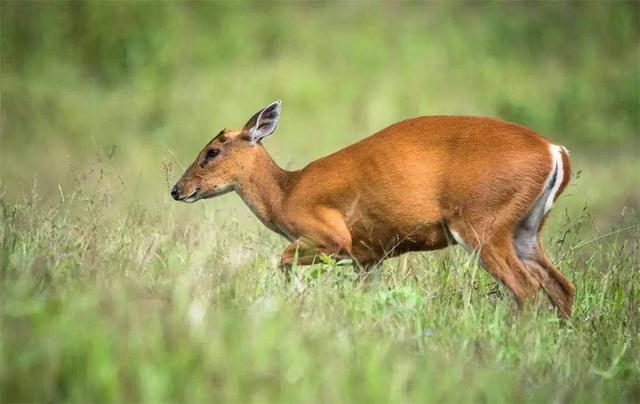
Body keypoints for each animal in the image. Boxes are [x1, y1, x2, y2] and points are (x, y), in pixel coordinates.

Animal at [170, 99, 576, 318]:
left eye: (211, 151)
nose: (177, 189)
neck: (286, 194)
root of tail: (555, 151)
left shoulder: (331, 236)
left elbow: (282, 261)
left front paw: (295, 300)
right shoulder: (369, 256)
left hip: (482, 222)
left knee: (526, 288)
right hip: (526, 228)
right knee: (561, 285)